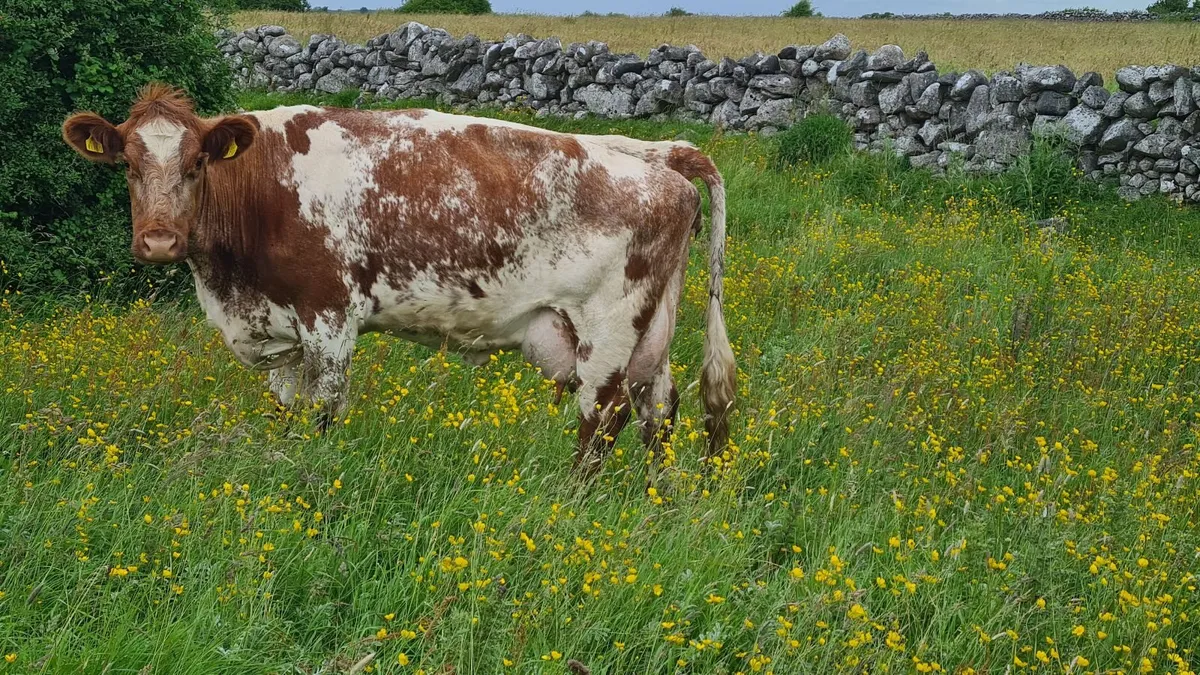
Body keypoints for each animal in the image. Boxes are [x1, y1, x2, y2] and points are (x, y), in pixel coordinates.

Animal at [62, 83, 735, 475]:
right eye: (127, 165)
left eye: (198, 163)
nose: (158, 240)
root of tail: (661, 154)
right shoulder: (278, 329)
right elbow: (285, 412)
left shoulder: (329, 315)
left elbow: (323, 412)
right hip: (652, 330)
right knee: (659, 410)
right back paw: (653, 500)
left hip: (610, 326)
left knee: (602, 418)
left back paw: (569, 503)